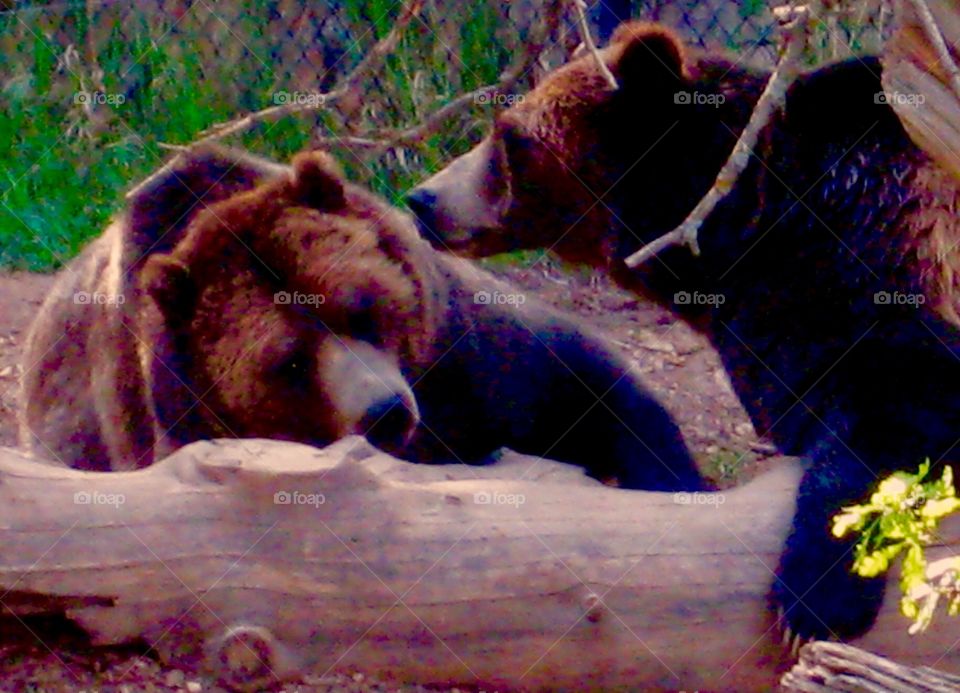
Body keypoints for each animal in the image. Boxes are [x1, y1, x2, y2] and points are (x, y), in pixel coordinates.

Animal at [19, 145, 704, 496]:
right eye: (289, 361)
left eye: (360, 303)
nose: (385, 411)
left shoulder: (459, 352)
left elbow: (589, 384)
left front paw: (675, 480)